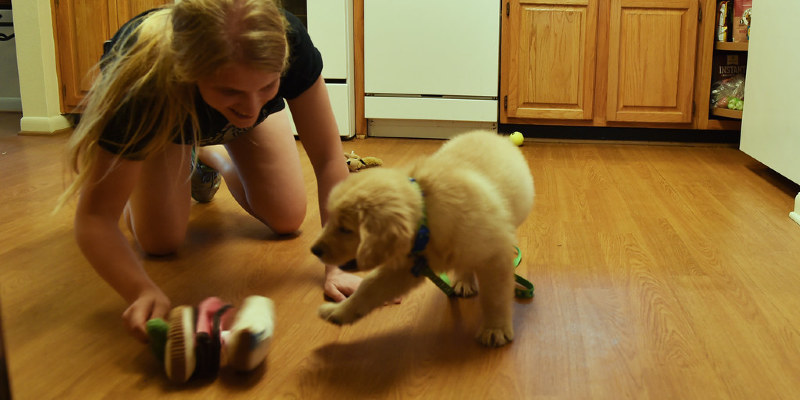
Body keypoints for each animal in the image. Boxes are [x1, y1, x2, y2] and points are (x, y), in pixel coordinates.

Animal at [310, 130, 536, 346]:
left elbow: (495, 297)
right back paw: (464, 281)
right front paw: (337, 312)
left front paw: (495, 329)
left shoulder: (494, 255)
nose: (314, 250)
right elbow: (369, 287)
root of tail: (489, 134)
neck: (426, 218)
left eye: (345, 229)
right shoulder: (408, 266)